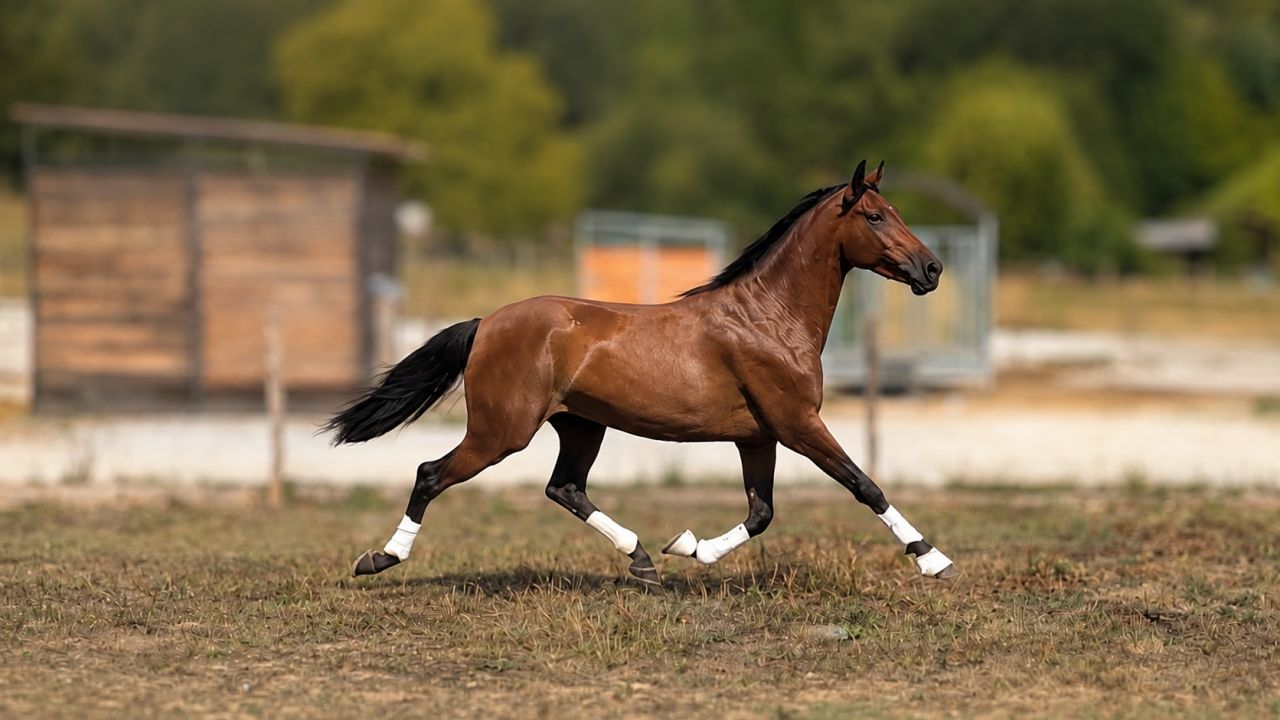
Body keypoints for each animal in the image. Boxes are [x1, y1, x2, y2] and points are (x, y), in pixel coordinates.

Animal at [326, 160, 956, 593]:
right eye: (875, 216)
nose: (932, 269)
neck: (769, 317)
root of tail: (487, 323)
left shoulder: (759, 436)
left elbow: (761, 514)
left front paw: (689, 547)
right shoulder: (798, 423)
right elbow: (864, 485)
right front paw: (933, 558)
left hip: (580, 426)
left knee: (564, 487)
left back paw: (644, 561)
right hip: (500, 433)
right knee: (431, 474)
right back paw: (378, 559)